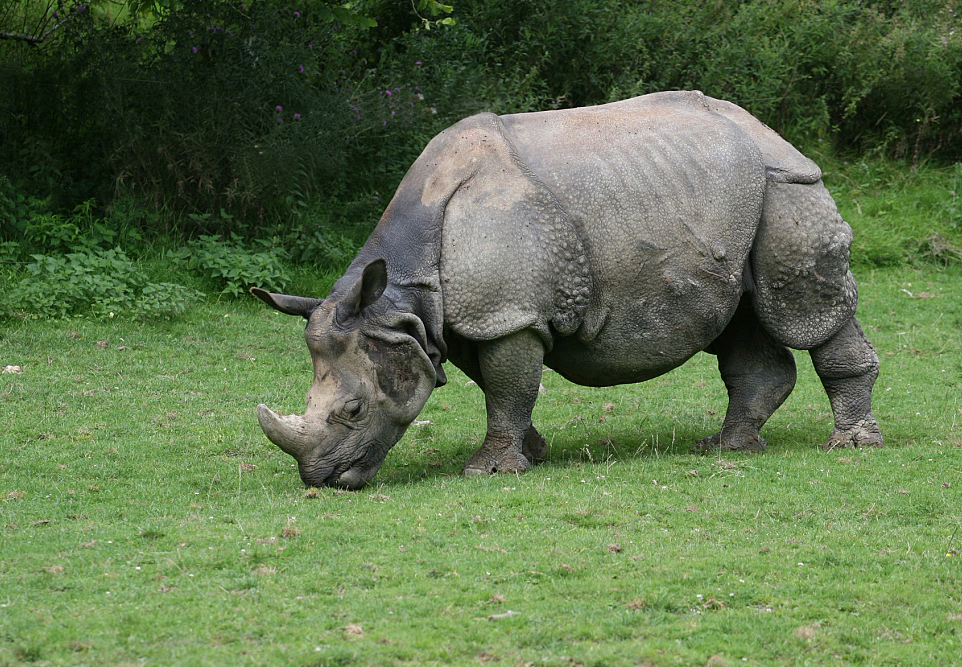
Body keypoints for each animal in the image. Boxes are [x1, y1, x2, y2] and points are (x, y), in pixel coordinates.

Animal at [252, 91, 883, 490]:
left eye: (354, 411)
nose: (323, 481)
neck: (399, 297)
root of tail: (768, 131)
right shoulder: (476, 318)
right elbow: (501, 388)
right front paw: (529, 454)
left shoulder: (508, 313)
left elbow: (507, 388)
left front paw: (489, 472)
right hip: (734, 197)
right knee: (739, 320)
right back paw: (727, 448)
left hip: (788, 186)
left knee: (803, 312)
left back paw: (851, 446)